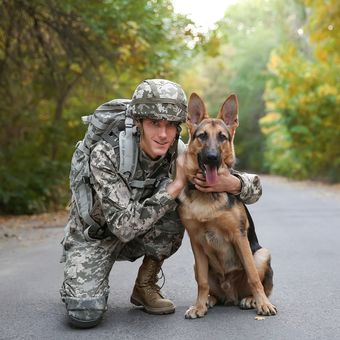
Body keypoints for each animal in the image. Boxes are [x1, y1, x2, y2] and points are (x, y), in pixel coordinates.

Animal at [178, 93, 276, 318]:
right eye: (202, 136)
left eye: (222, 137)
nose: (212, 158)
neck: (207, 195)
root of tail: (230, 296)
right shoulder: (196, 241)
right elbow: (202, 282)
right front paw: (198, 306)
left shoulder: (239, 237)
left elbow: (253, 277)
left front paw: (263, 304)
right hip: (197, 265)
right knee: (211, 290)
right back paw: (208, 301)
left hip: (262, 254)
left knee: (258, 283)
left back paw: (252, 300)